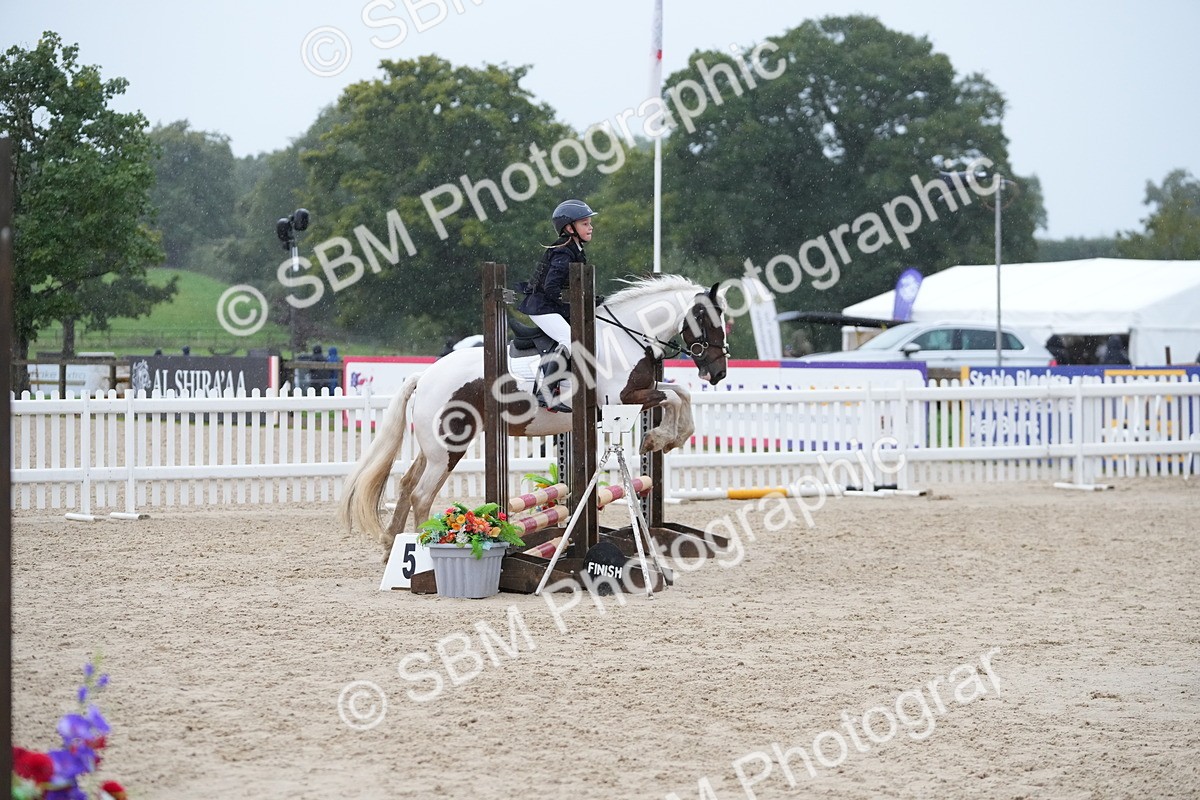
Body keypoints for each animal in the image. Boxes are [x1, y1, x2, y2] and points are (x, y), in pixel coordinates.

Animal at [338, 273, 730, 552]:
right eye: (707, 319)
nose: (718, 373)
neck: (625, 337)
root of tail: (426, 375)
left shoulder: (637, 396)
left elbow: (680, 394)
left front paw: (663, 438)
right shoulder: (623, 397)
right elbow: (674, 397)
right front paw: (659, 438)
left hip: (434, 446)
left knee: (406, 486)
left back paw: (391, 546)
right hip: (448, 447)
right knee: (422, 494)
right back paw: (422, 555)